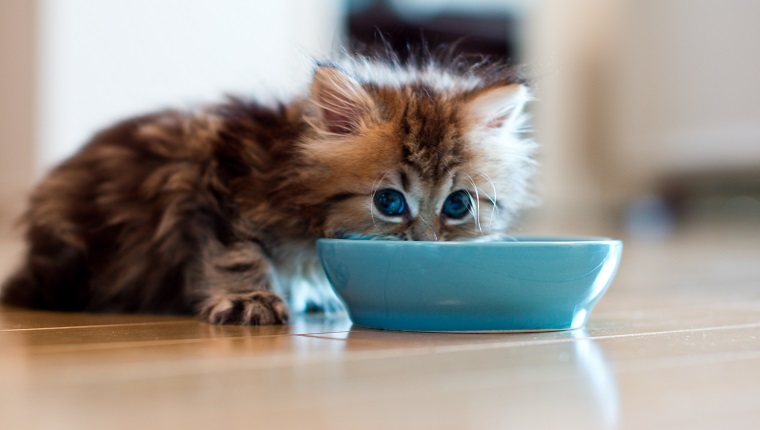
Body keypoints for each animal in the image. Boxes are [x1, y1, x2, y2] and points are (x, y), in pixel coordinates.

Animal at [0, 52, 536, 324]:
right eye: (389, 202)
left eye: (458, 204)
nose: (426, 245)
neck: (287, 169)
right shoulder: (212, 181)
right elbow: (237, 253)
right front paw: (249, 299)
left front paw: (311, 290)